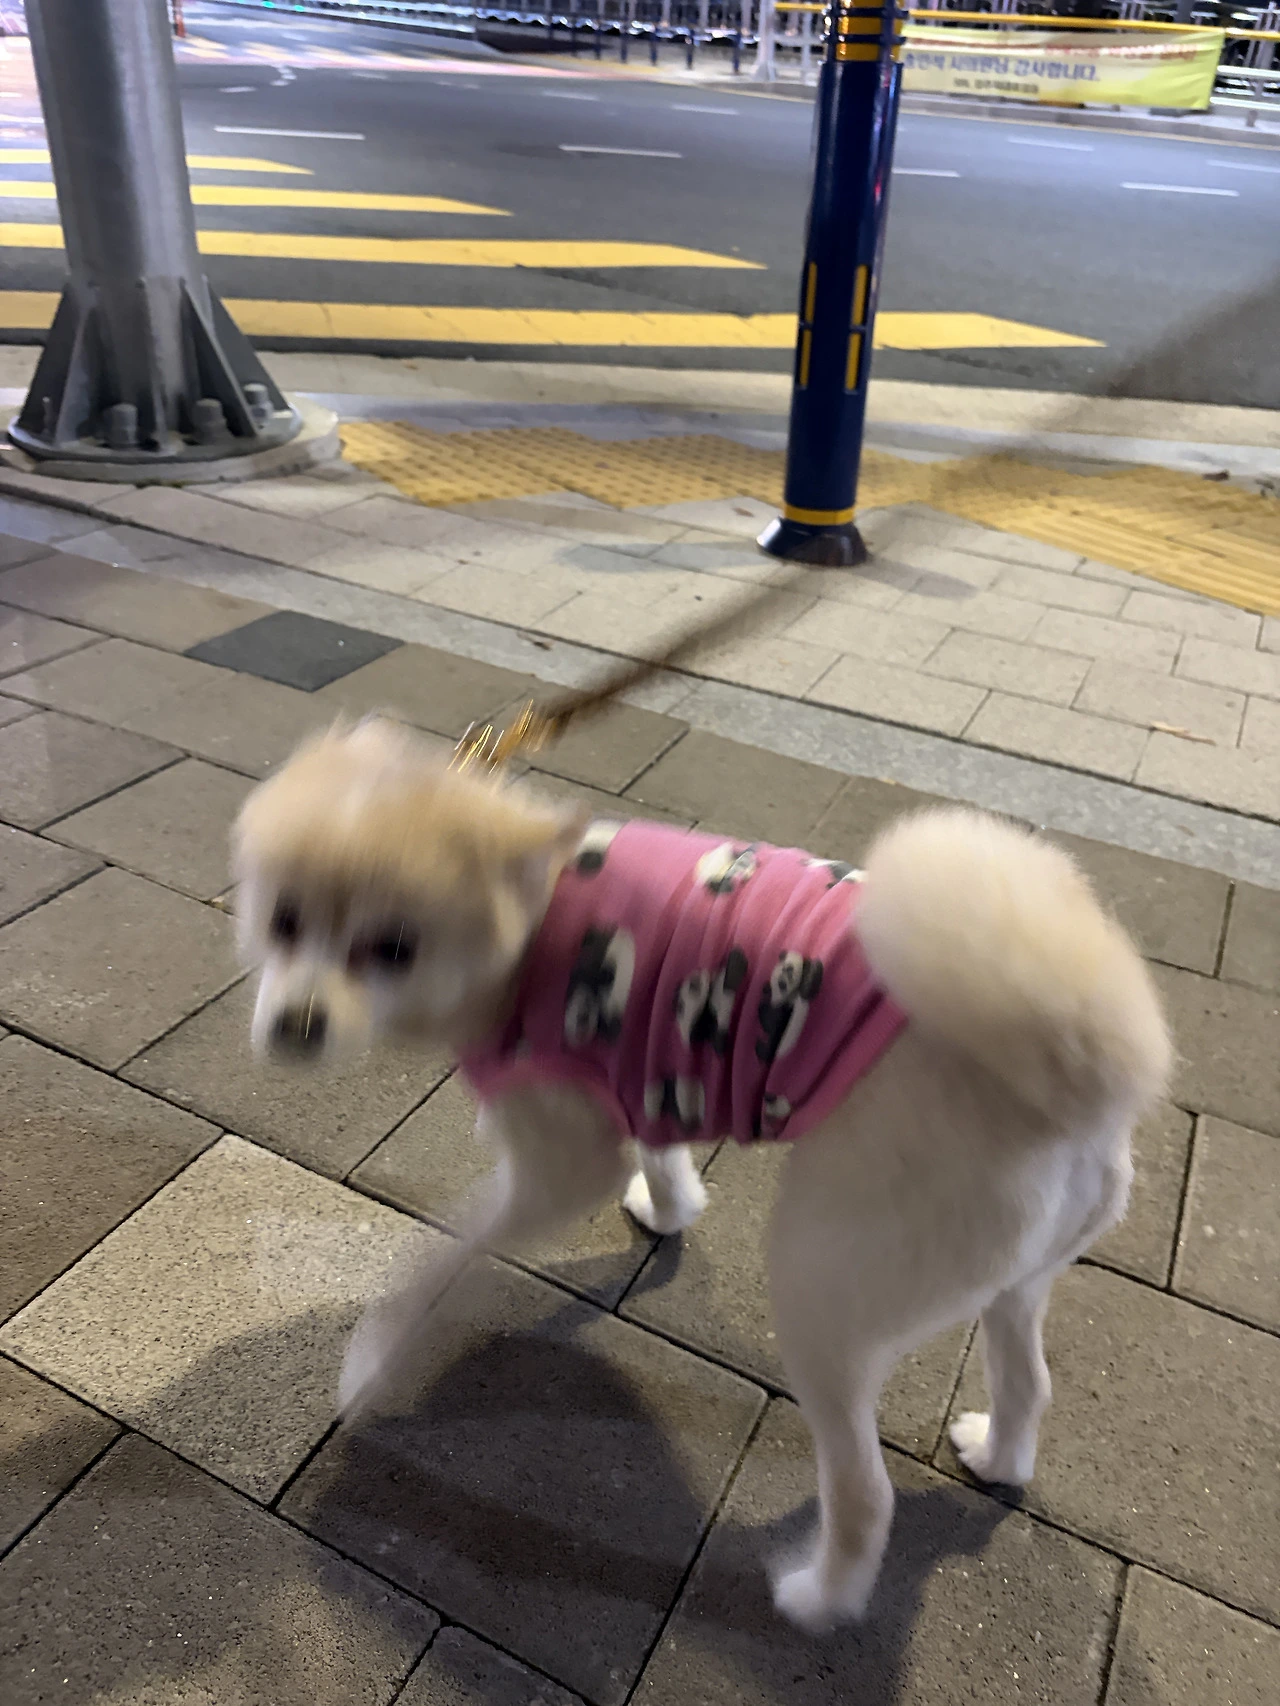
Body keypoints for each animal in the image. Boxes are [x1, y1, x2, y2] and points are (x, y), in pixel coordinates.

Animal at [233, 716, 1170, 1630]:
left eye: (393, 948)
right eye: (284, 921)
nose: (295, 1026)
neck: (528, 927)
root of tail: (1087, 1071)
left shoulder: (560, 1165)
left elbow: (440, 1253)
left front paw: (374, 1359)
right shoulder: (643, 1073)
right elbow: (659, 1149)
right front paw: (670, 1205)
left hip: (822, 1289)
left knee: (866, 1492)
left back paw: (818, 1599)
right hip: (1017, 1277)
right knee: (1029, 1381)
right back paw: (996, 1455)